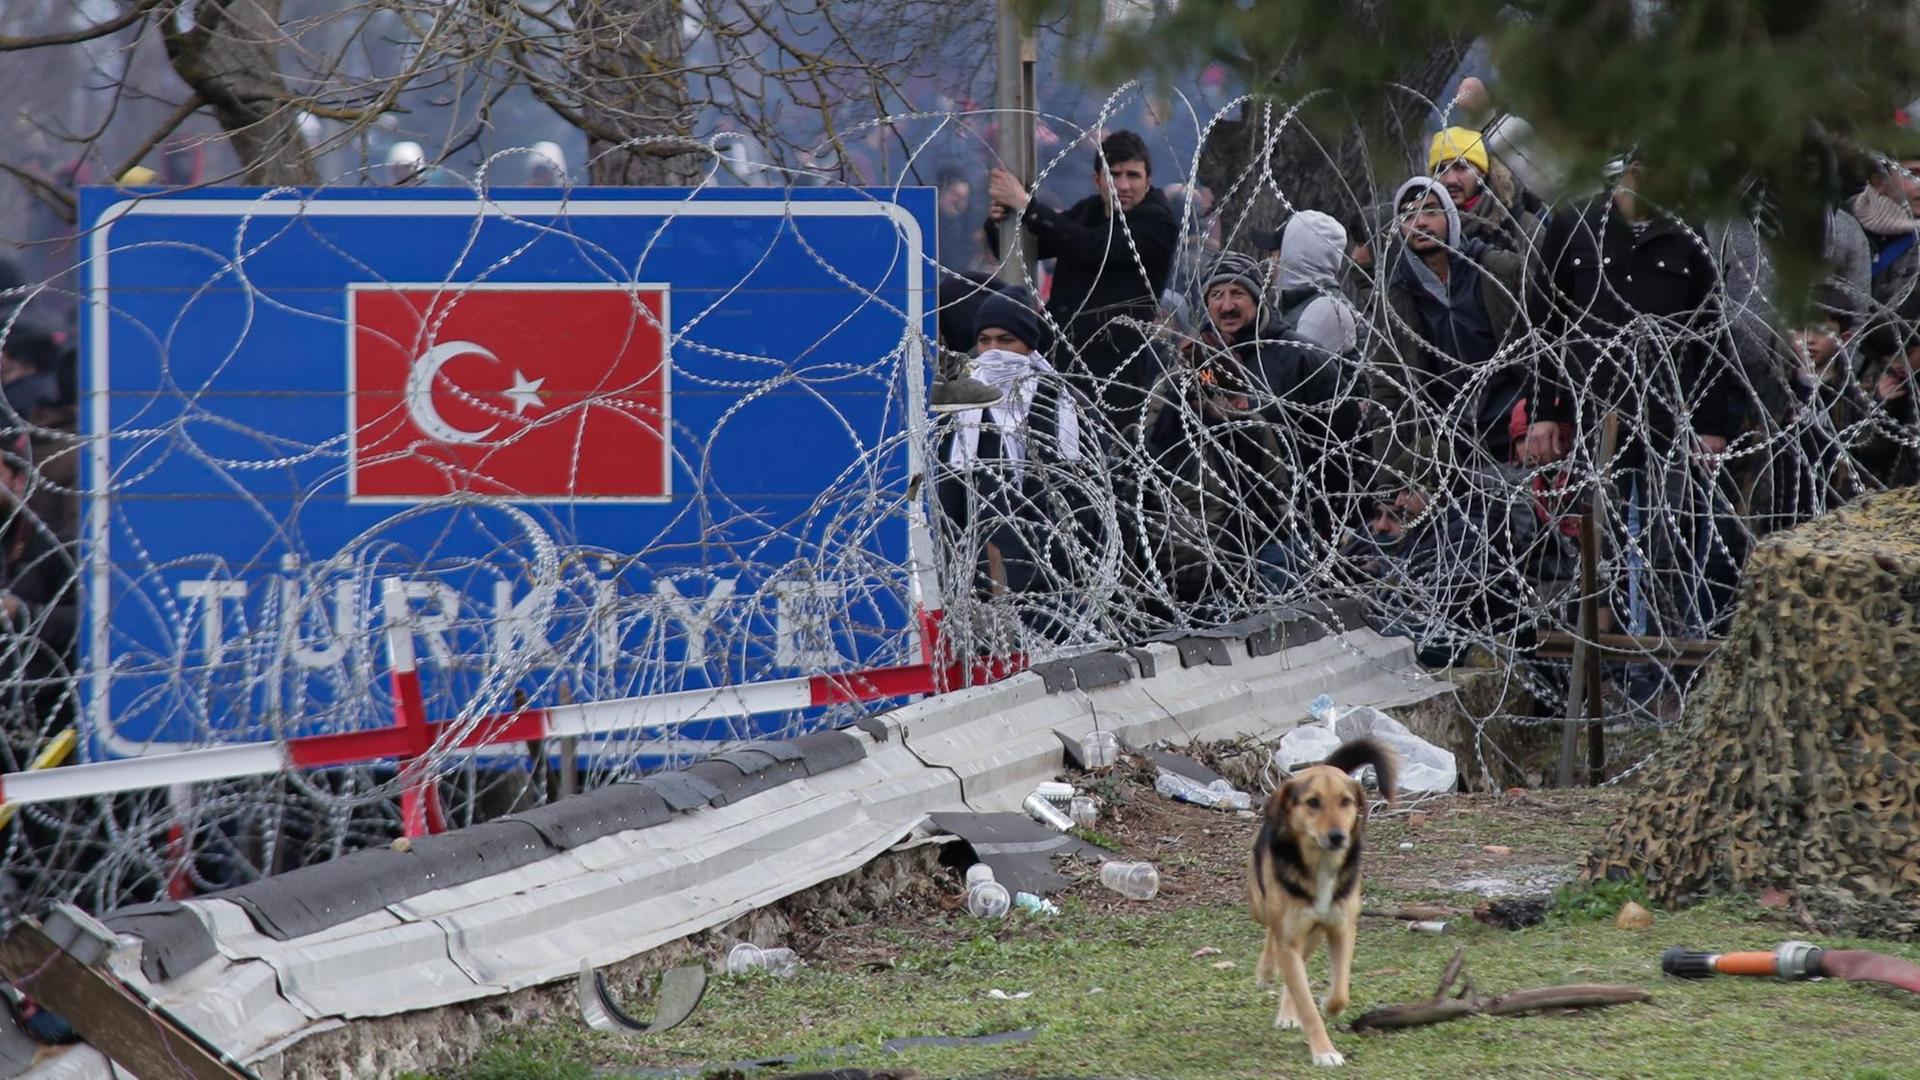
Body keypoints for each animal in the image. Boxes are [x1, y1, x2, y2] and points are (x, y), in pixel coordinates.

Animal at [1244, 734, 1397, 1060]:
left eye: (1346, 801)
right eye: (1313, 802)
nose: (1338, 836)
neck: (1322, 865)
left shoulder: (1340, 929)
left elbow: (1339, 993)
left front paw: (1328, 1003)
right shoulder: (1289, 936)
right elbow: (1307, 1005)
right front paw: (1324, 1052)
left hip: (1313, 932)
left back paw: (1288, 1012)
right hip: (1261, 906)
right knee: (1270, 934)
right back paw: (1266, 972)